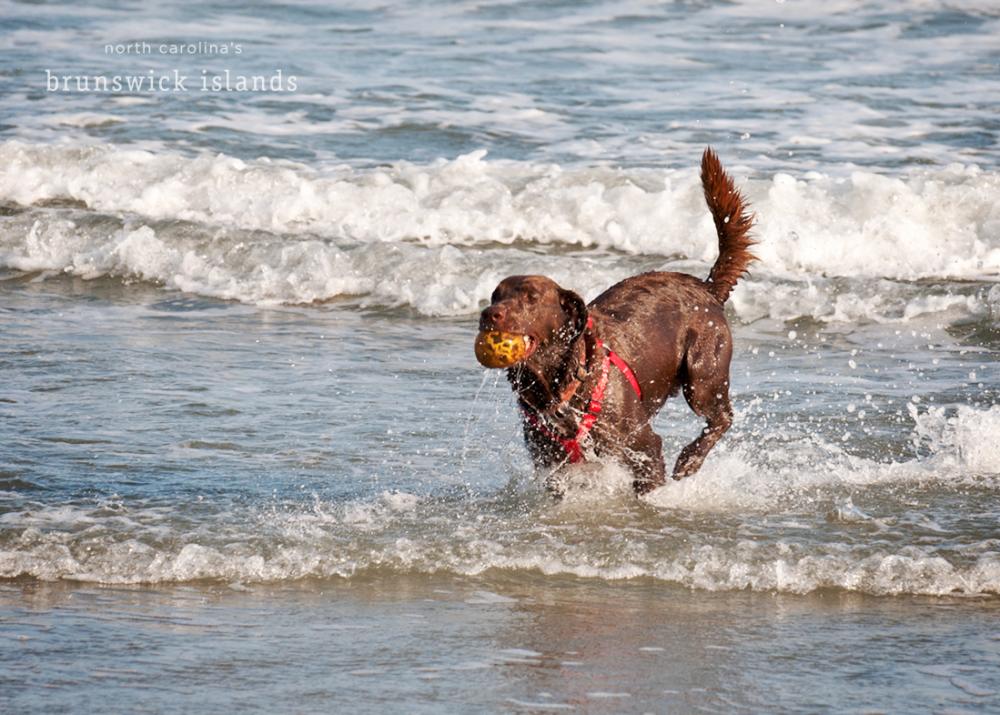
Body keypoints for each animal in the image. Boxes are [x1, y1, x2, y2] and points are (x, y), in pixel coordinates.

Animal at [476, 148, 756, 496]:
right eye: (495, 296)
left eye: (531, 297)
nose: (489, 315)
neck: (559, 385)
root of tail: (705, 288)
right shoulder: (551, 462)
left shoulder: (643, 446)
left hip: (702, 374)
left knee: (722, 416)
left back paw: (690, 459)